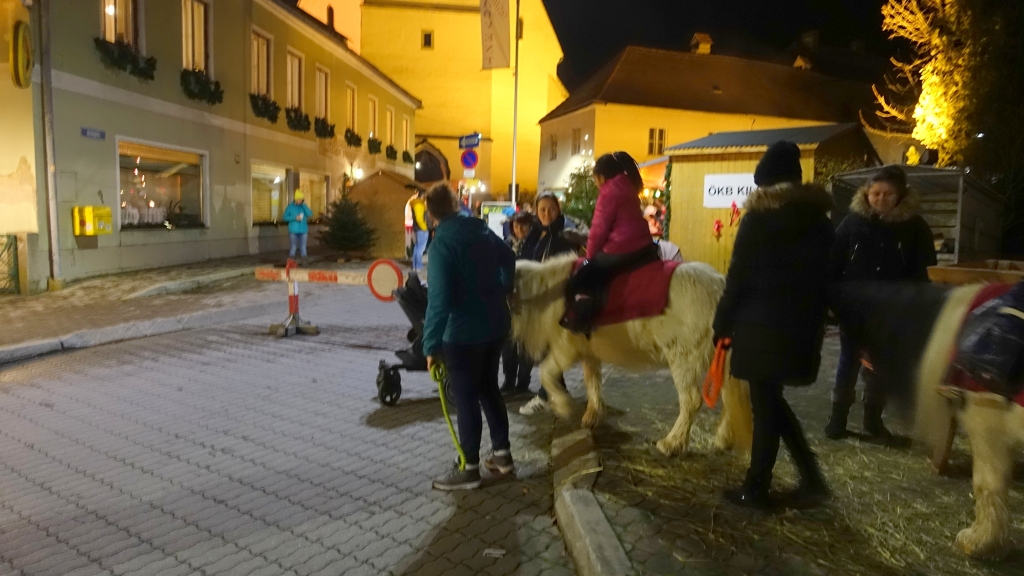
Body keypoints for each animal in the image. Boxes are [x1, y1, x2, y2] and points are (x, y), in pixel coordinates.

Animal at [511, 254, 753, 457]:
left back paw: (672, 443)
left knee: (692, 401)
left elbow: (546, 372)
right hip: (719, 357)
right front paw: (593, 415)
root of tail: (718, 286)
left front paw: (562, 405)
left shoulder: (565, 349)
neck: (550, 295)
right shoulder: (589, 351)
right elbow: (592, 381)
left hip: (683, 357)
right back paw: (722, 439)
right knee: (726, 395)